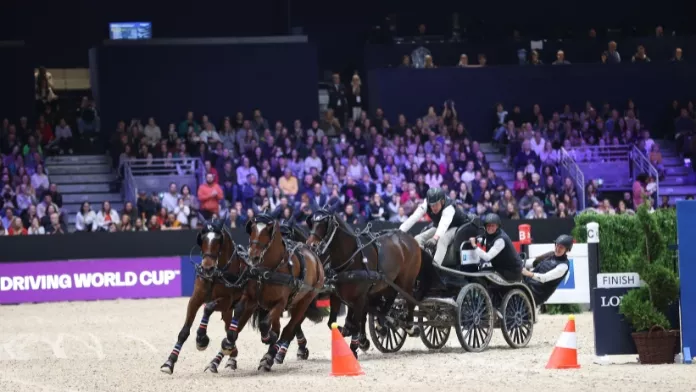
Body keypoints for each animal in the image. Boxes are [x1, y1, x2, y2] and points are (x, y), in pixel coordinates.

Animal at [222, 213, 328, 372]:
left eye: (268, 231)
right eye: (252, 229)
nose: (253, 256)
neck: (267, 270)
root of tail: (315, 259)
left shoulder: (280, 303)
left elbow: (266, 324)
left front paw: (268, 339)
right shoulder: (251, 298)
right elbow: (240, 311)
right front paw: (229, 340)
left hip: (304, 301)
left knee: (287, 330)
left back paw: (270, 357)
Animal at [304, 208, 418, 358]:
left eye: (324, 225)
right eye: (311, 223)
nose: (311, 246)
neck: (351, 259)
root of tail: (408, 238)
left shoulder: (359, 298)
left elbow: (355, 324)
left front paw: (354, 347)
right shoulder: (337, 296)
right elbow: (333, 323)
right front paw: (351, 333)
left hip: (406, 280)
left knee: (409, 300)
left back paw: (409, 326)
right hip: (387, 283)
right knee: (390, 298)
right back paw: (382, 324)